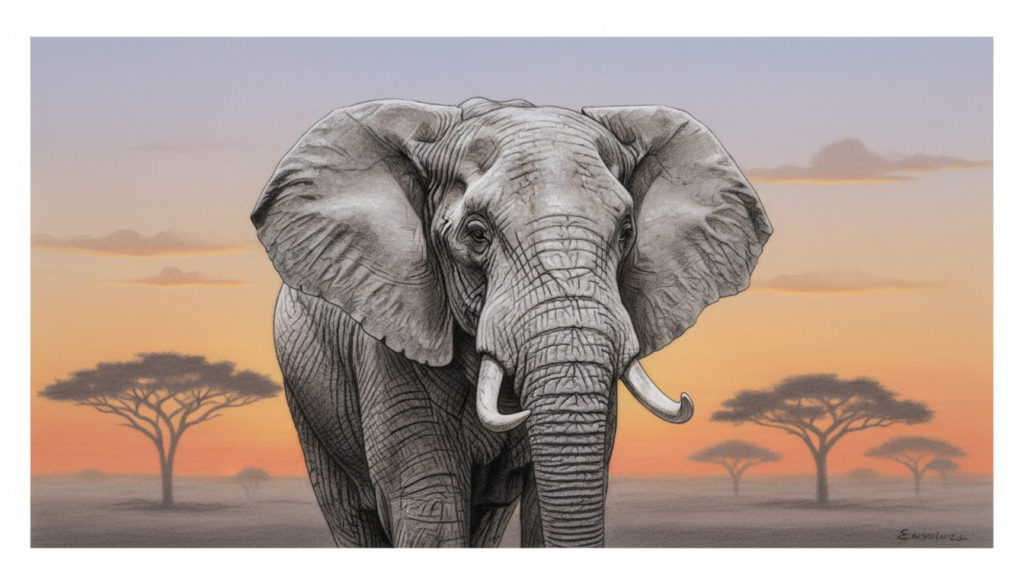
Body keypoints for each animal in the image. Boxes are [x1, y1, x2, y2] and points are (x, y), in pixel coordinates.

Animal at [251, 97, 771, 547]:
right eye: (477, 234)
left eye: (626, 232)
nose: (686, 398)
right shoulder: (388, 341)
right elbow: (430, 507)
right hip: (308, 401)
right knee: (350, 516)